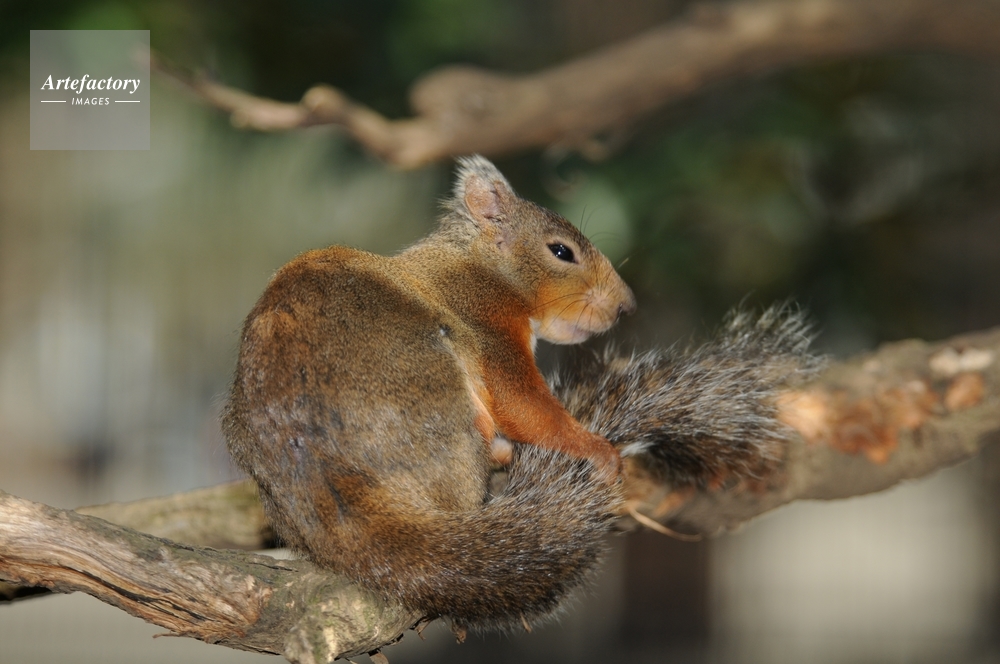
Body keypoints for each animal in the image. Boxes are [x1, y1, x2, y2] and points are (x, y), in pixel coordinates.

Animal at [222, 156, 820, 633]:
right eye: (561, 252)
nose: (625, 306)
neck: (476, 267)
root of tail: (335, 499)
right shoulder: (488, 330)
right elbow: (525, 404)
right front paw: (594, 448)